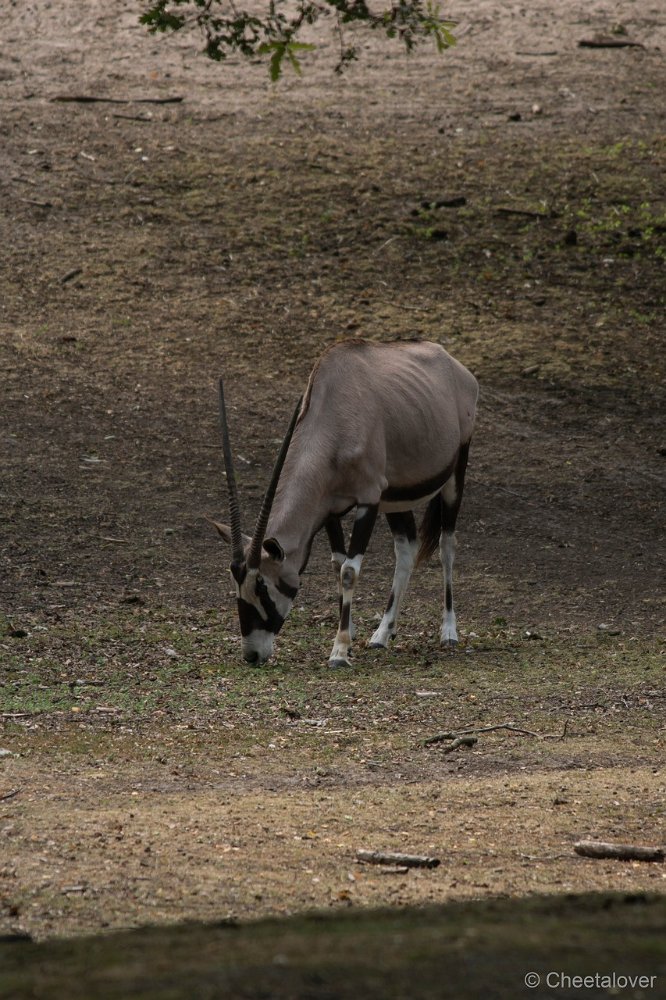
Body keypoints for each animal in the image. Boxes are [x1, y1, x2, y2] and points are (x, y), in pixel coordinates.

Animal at [213, 340, 478, 668]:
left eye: (262, 585)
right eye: (235, 584)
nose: (251, 654)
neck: (333, 416)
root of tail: (454, 364)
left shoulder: (368, 500)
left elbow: (349, 571)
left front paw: (339, 650)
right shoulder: (330, 509)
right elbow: (338, 563)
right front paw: (348, 637)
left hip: (455, 472)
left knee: (446, 545)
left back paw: (449, 632)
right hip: (394, 498)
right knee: (406, 549)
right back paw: (382, 634)